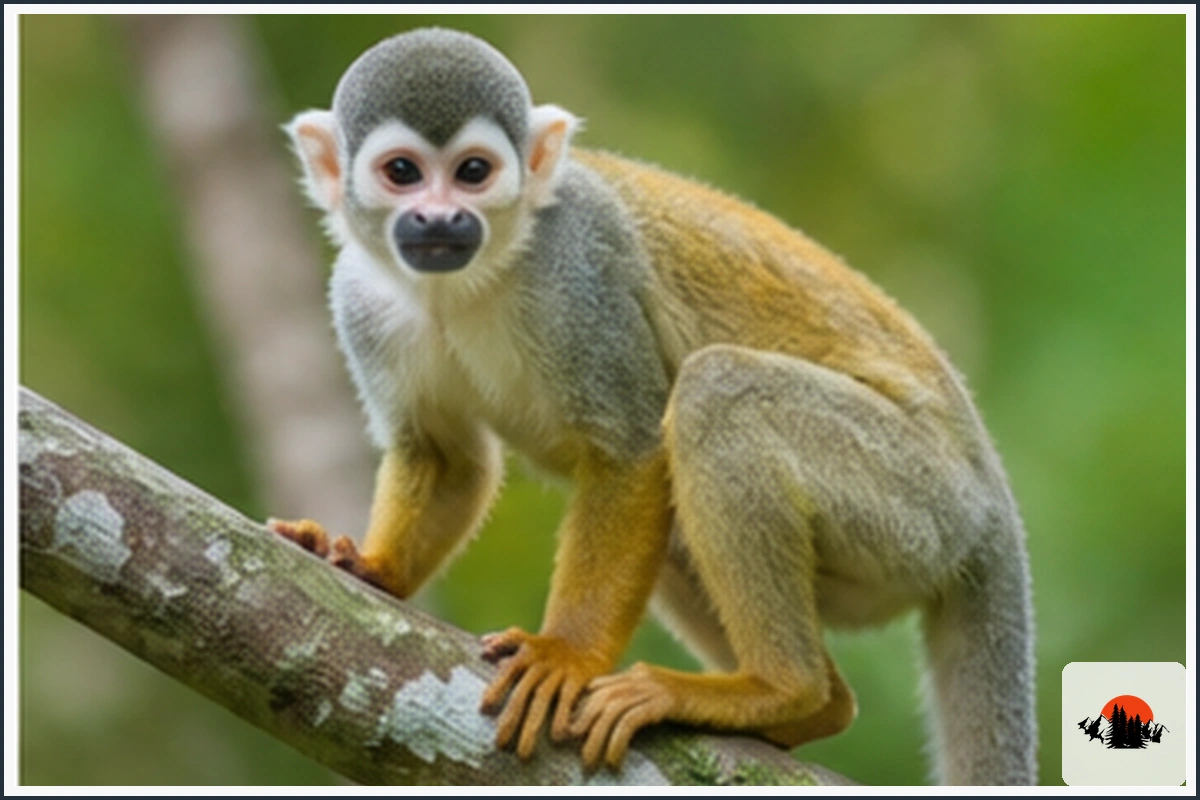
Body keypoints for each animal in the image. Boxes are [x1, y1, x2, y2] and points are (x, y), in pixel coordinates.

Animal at [271, 27, 1037, 785]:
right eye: (402, 172)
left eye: (473, 172)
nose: (440, 217)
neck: (472, 277)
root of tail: (992, 502)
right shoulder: (361, 301)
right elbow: (446, 457)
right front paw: (372, 569)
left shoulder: (576, 276)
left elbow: (630, 452)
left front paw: (566, 656)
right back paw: (818, 707)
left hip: (920, 507)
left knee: (717, 395)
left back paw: (780, 689)